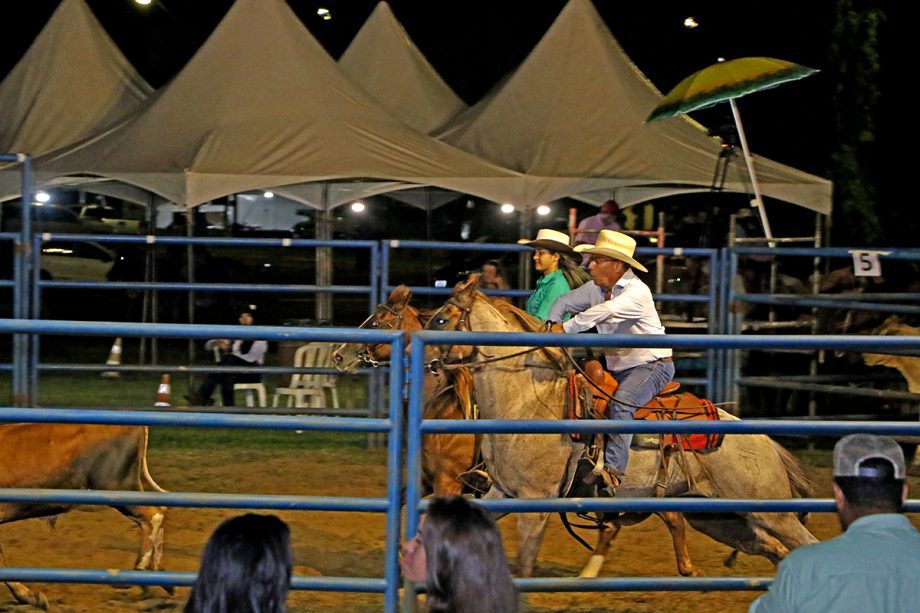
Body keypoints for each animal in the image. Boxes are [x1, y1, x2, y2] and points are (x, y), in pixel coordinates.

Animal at [1, 424, 169, 608]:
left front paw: (30, 596)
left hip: (117, 486)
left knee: (153, 515)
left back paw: (140, 569)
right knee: (157, 511)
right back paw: (158, 573)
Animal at [426, 278, 820, 580]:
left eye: (442, 319)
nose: (424, 358)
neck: (527, 399)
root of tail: (766, 441)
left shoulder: (535, 502)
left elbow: (523, 566)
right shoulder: (503, 492)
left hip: (772, 512)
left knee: (803, 544)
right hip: (716, 518)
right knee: (774, 548)